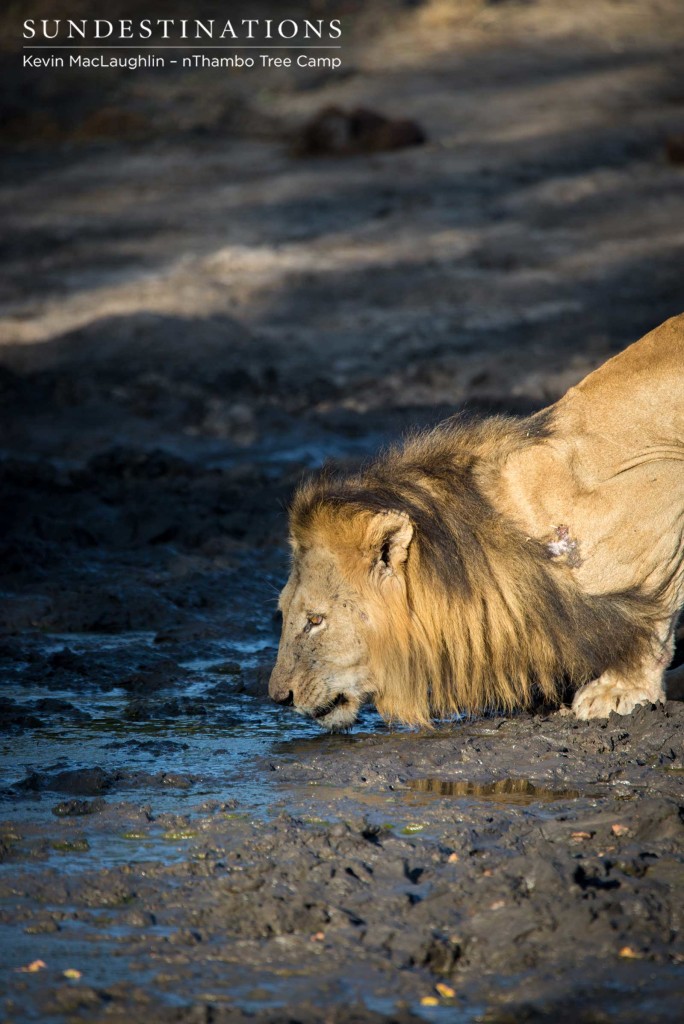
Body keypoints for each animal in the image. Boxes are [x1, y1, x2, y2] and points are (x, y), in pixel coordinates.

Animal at [266, 315, 684, 733]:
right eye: (284, 613)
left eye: (315, 620)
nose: (279, 697)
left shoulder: (666, 487)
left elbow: (654, 615)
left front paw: (619, 690)